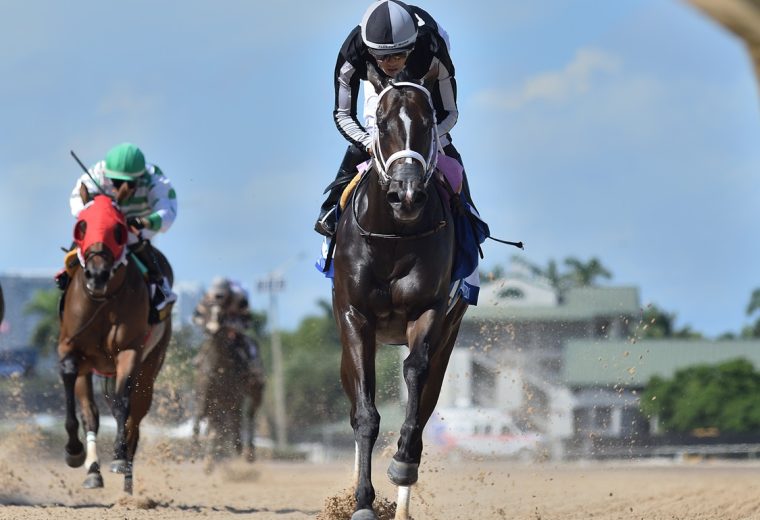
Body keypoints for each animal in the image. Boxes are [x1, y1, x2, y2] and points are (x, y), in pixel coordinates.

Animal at [56, 186, 172, 492]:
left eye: (118, 229)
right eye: (82, 226)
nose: (97, 275)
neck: (103, 299)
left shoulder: (129, 350)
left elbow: (122, 402)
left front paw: (119, 458)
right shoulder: (71, 348)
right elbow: (80, 400)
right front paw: (74, 452)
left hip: (151, 365)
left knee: (134, 418)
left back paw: (127, 474)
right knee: (92, 414)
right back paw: (93, 471)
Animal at [332, 70, 470, 520]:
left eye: (429, 122)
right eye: (383, 122)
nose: (406, 194)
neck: (393, 235)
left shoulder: (429, 311)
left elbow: (415, 374)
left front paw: (402, 466)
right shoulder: (354, 315)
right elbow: (365, 413)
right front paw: (361, 502)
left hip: (450, 331)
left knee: (426, 401)